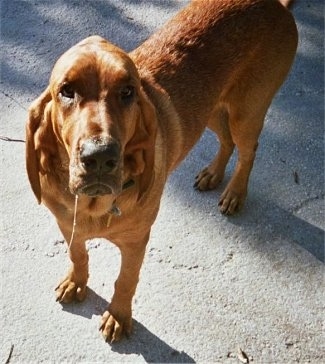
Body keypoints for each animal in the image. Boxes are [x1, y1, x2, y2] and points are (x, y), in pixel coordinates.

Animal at [26, 0, 298, 342]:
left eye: (128, 92)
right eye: (66, 90)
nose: (100, 158)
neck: (93, 206)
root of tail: (276, 5)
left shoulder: (136, 242)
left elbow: (125, 281)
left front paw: (118, 316)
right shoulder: (66, 223)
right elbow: (78, 254)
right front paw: (76, 282)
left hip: (246, 113)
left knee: (248, 151)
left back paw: (234, 193)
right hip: (210, 109)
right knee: (226, 140)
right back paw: (212, 174)